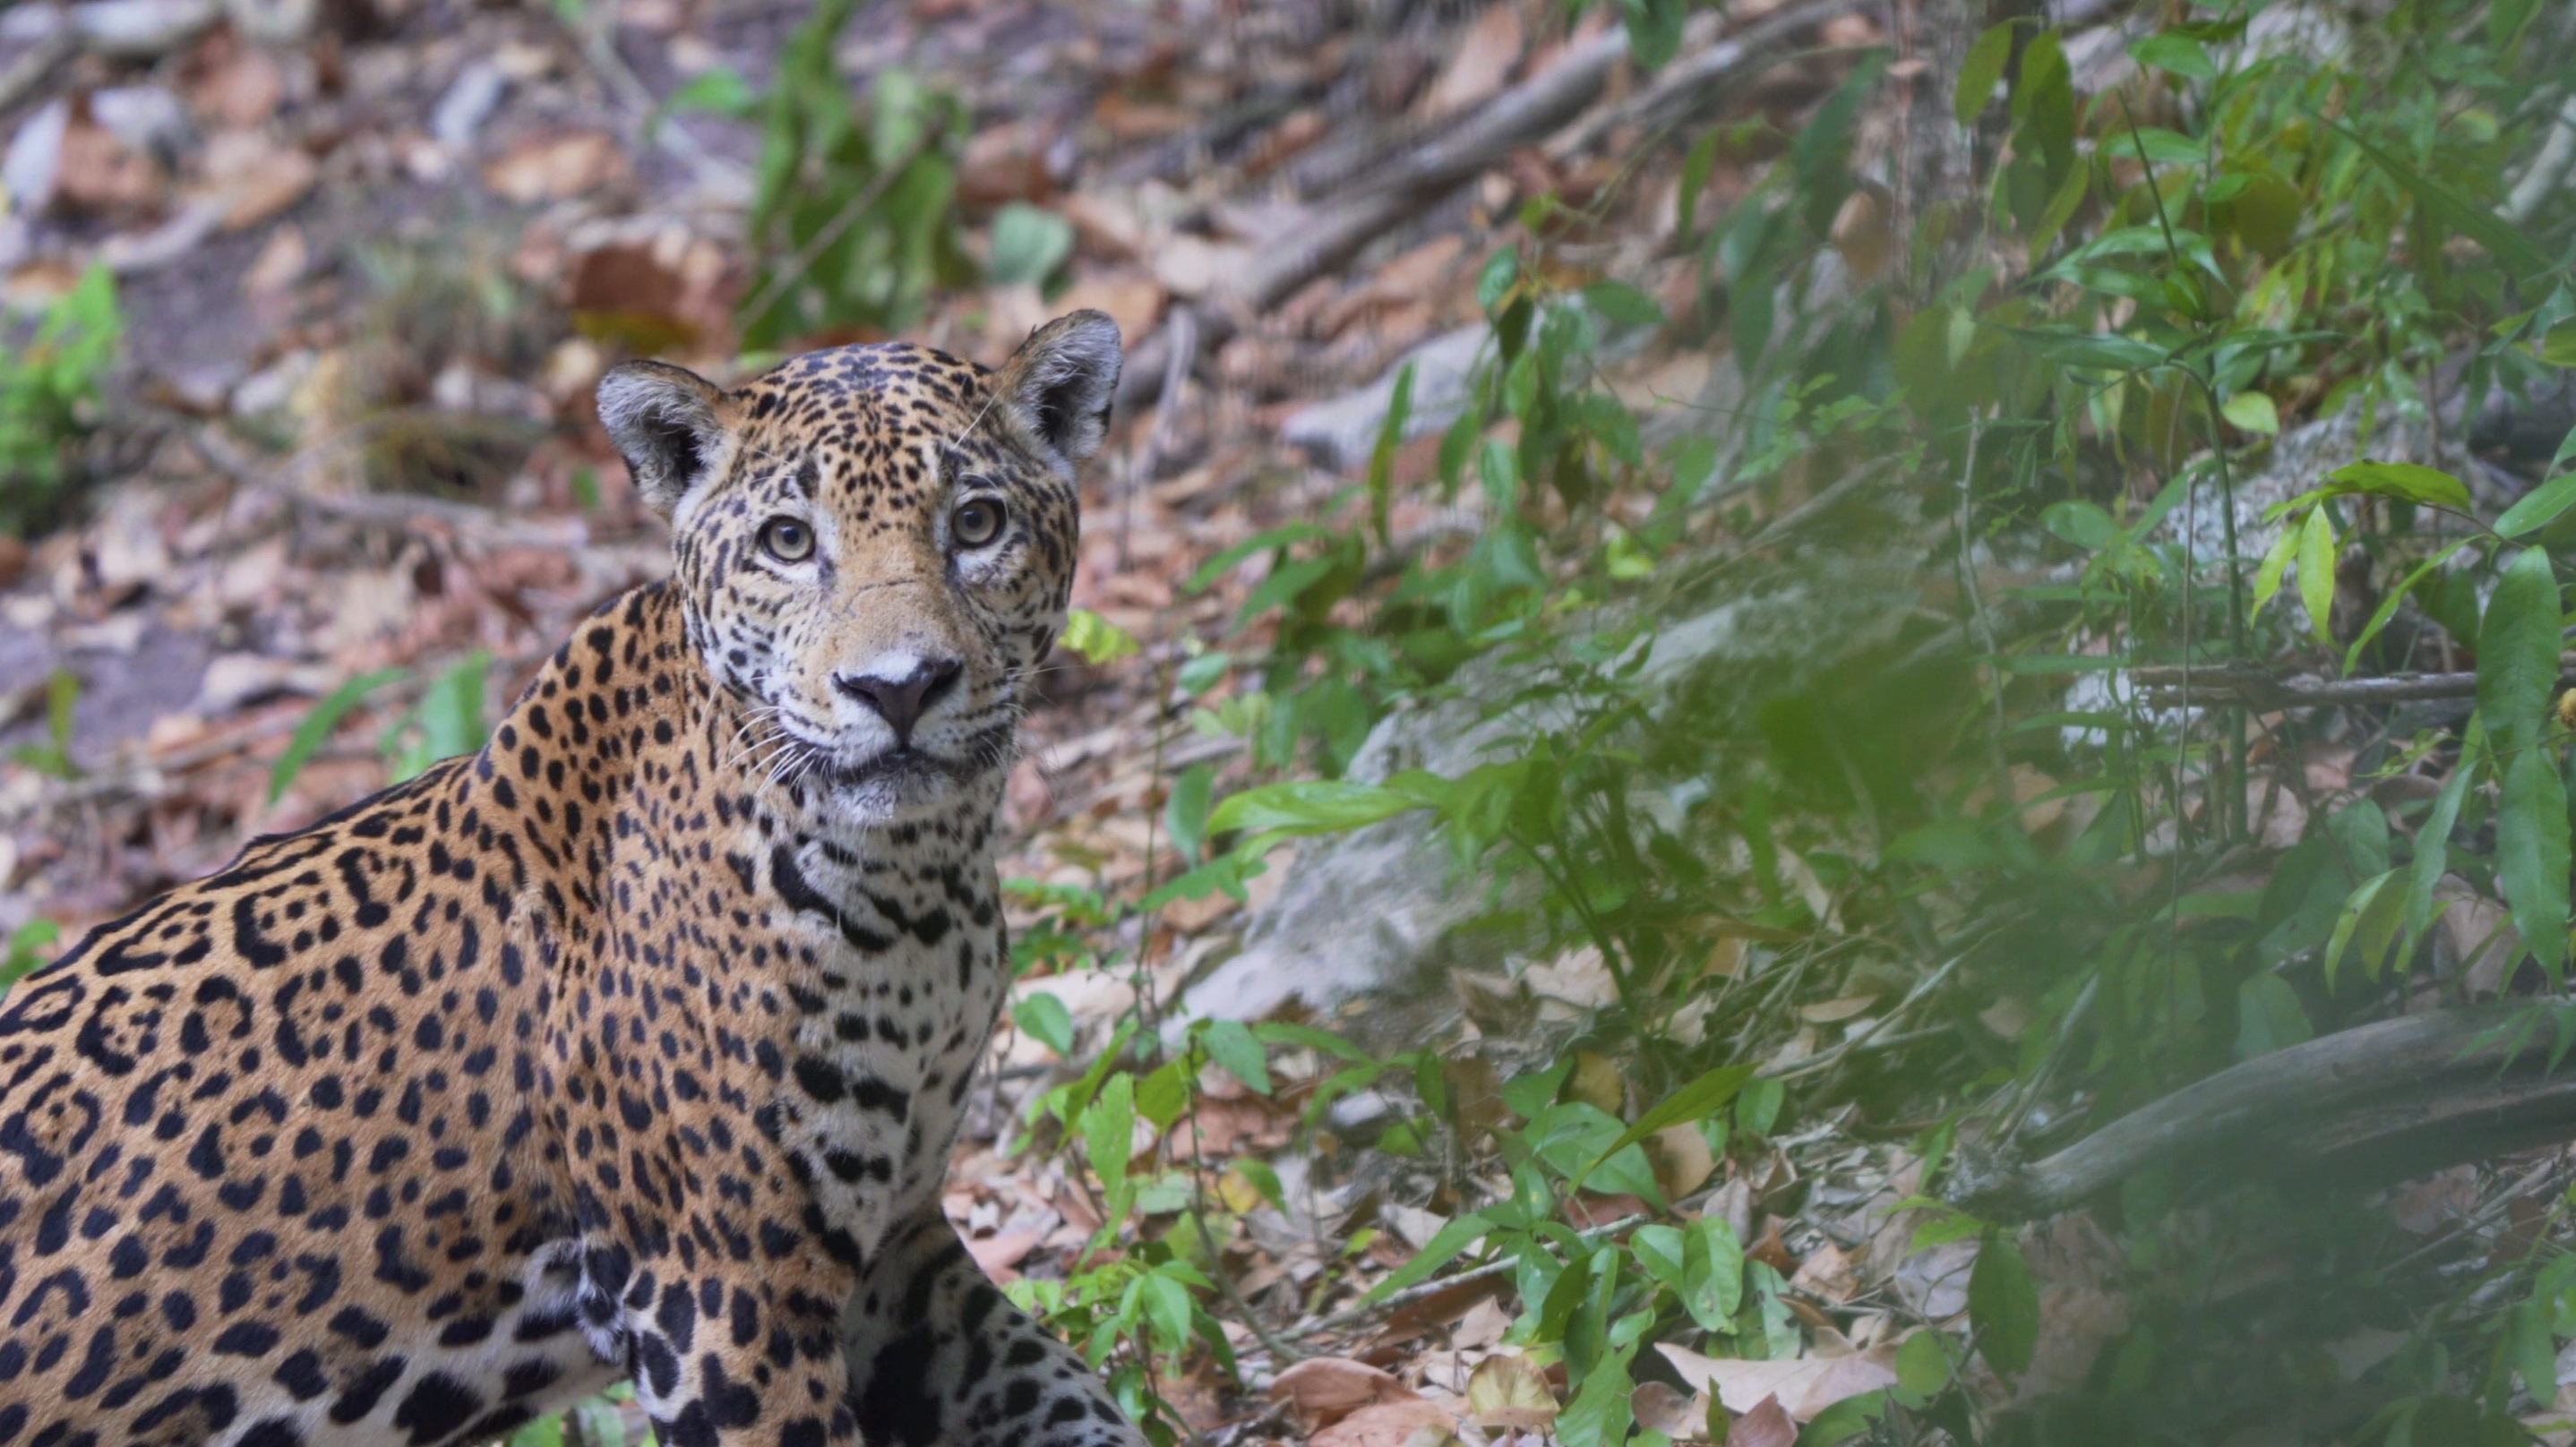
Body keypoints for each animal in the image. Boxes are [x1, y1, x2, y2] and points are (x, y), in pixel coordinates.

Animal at [0, 310, 1149, 1447]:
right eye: (788, 541)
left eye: (976, 523)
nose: (899, 687)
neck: (918, 881)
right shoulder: (725, 1296)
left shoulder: (894, 1259)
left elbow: (1064, 1397)